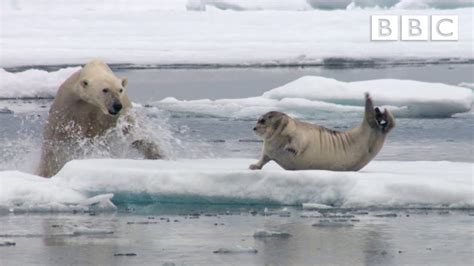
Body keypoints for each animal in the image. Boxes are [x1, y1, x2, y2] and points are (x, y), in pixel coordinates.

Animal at [36, 59, 164, 178]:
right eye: (105, 89)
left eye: (120, 89)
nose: (117, 105)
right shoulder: (67, 105)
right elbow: (54, 140)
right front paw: (46, 172)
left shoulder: (118, 114)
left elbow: (133, 131)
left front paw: (157, 155)